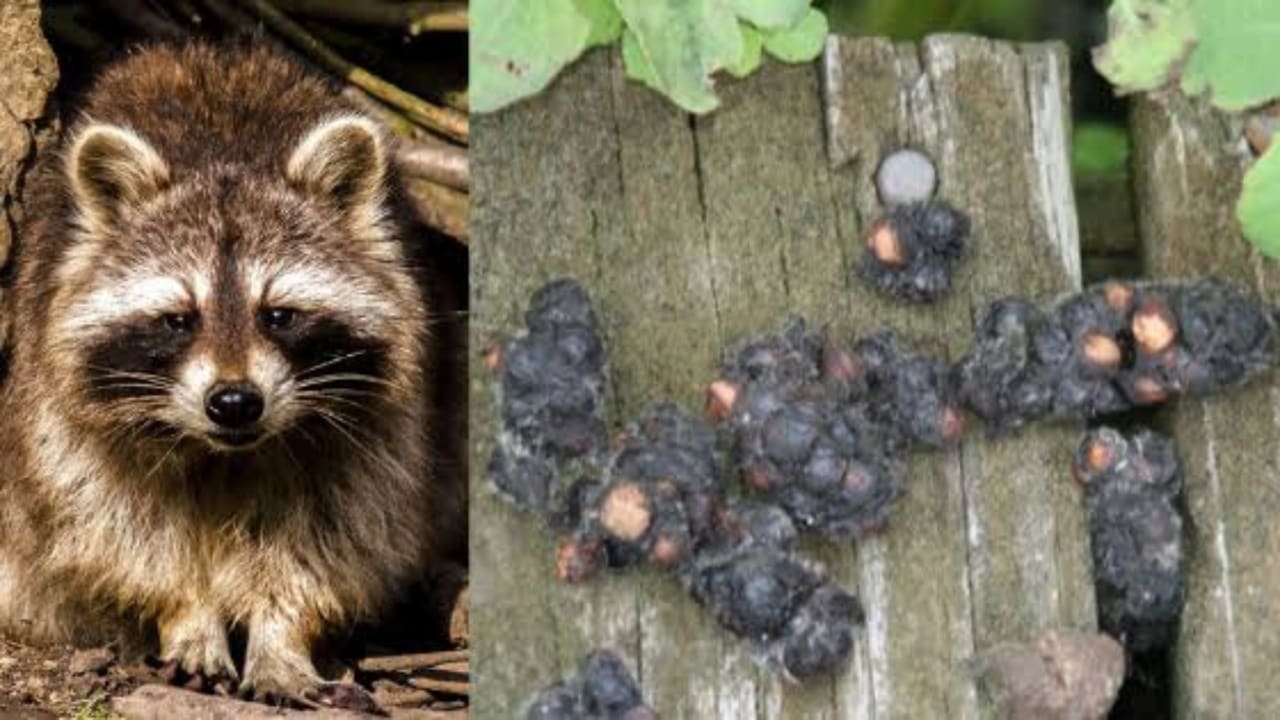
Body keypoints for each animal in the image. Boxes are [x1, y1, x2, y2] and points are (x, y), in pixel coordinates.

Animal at [0, 43, 465, 701]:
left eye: (279, 315)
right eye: (178, 319)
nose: (234, 403)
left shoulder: (376, 434)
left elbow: (332, 536)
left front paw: (282, 635)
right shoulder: (71, 427)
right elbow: (123, 531)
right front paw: (189, 616)